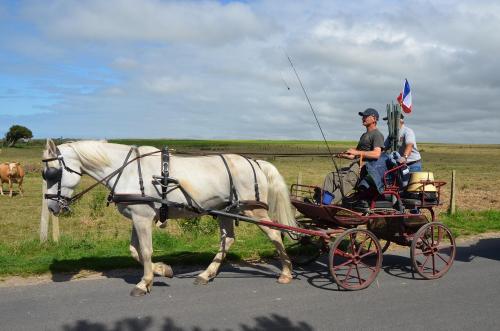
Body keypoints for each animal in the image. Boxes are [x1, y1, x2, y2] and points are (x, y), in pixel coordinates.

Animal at [43, 139, 296, 296]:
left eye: (52, 173)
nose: (52, 207)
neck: (126, 170)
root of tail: (254, 162)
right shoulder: (138, 216)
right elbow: (134, 250)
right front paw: (162, 270)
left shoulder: (143, 217)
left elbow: (145, 251)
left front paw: (144, 283)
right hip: (224, 210)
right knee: (228, 239)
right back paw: (206, 274)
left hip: (254, 211)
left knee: (275, 234)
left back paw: (286, 272)